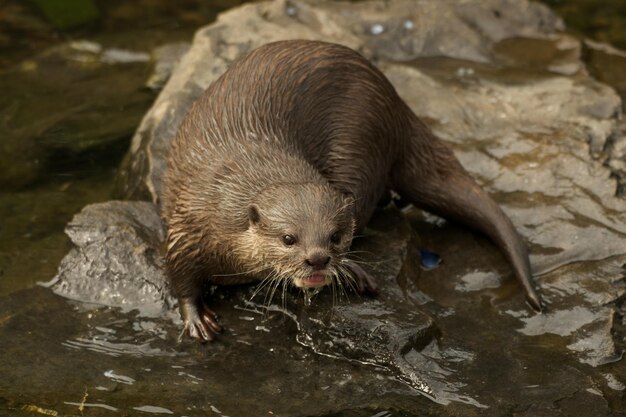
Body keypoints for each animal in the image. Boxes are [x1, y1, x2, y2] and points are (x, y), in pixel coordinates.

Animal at [162, 39, 540, 340]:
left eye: (334, 236)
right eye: (288, 238)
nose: (317, 258)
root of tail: (395, 101)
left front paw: (352, 268)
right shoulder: (189, 225)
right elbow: (179, 274)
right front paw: (196, 319)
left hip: (360, 142)